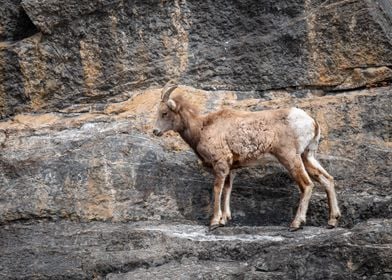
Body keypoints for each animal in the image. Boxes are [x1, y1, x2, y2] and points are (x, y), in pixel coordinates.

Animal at [152, 82, 340, 231]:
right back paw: (332, 221)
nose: (155, 131)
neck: (202, 128)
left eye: (164, 113)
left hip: (290, 158)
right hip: (307, 156)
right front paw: (224, 220)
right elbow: (227, 190)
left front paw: (214, 222)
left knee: (307, 185)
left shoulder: (220, 164)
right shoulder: (231, 168)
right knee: (327, 179)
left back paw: (296, 224)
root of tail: (312, 122)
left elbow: (217, 189)